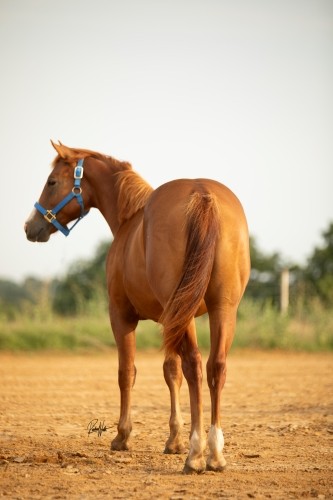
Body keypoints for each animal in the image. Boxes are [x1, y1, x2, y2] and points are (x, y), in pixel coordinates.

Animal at [24, 140, 249, 472]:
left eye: (52, 182)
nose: (30, 227)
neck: (130, 220)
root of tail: (202, 194)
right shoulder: (176, 318)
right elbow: (171, 371)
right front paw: (174, 440)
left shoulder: (121, 317)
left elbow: (126, 371)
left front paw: (122, 436)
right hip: (223, 308)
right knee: (214, 367)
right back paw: (215, 454)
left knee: (195, 365)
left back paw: (196, 454)